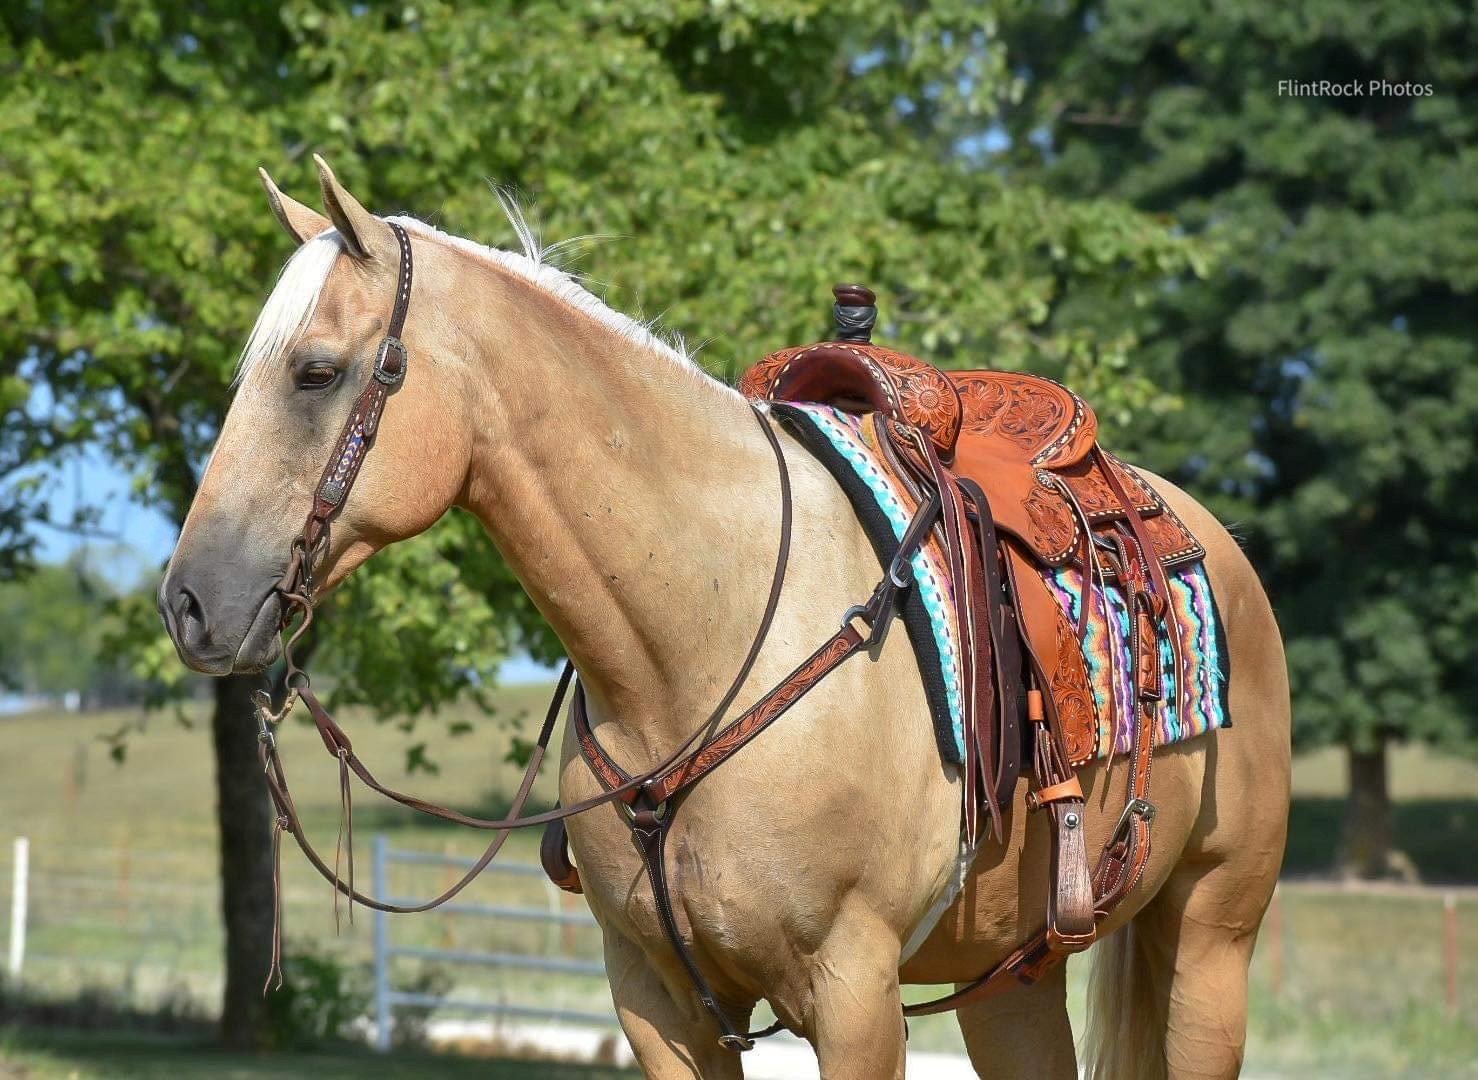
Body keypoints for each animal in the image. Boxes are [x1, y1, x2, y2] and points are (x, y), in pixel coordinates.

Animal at [158, 158, 1290, 1079]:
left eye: (316, 372)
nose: (189, 602)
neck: (696, 647)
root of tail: (1209, 540)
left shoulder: (853, 996)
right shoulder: (656, 1001)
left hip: (1210, 940)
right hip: (1014, 973)